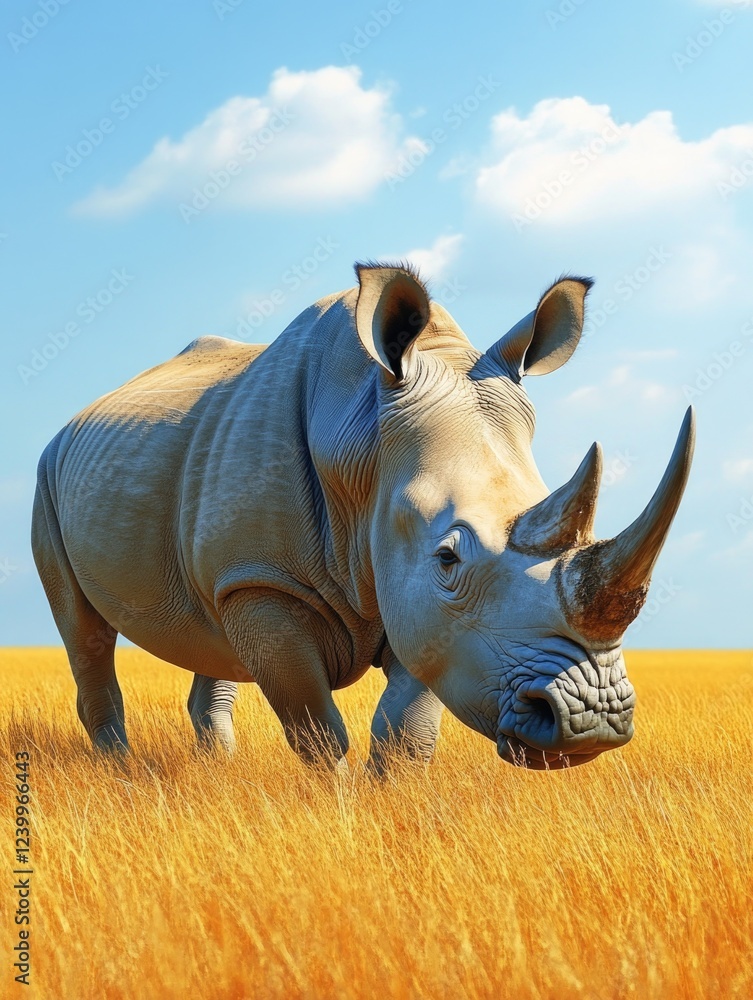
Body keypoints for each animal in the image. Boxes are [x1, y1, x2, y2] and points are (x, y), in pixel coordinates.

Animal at [32, 264, 694, 771]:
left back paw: (216, 770)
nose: (593, 722)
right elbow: (317, 730)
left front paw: (396, 811)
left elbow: (406, 729)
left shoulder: (416, 602)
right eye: (449, 558)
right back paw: (122, 776)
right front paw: (337, 811)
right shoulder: (268, 582)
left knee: (211, 635)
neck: (365, 441)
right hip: (48, 475)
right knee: (84, 633)